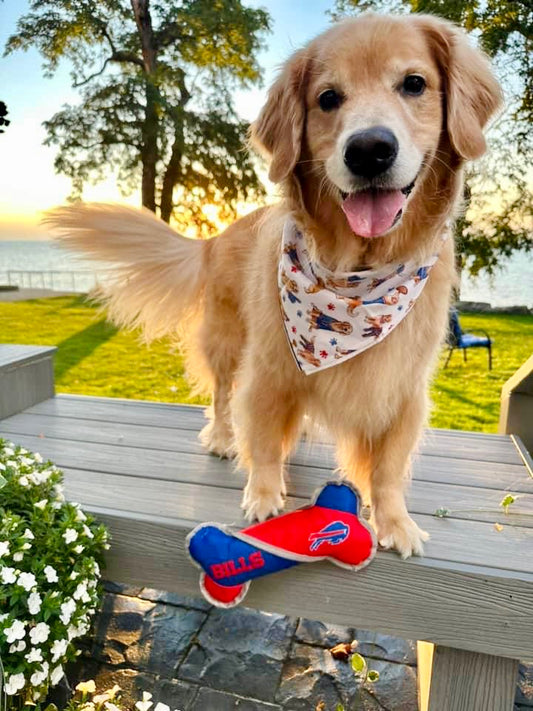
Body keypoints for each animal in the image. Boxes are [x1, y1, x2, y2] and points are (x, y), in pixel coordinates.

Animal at [47, 11, 500, 556]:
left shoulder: (404, 389)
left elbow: (389, 467)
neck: (356, 277)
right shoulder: (268, 368)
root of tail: (215, 236)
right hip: (226, 341)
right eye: (327, 98)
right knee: (222, 397)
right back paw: (223, 438)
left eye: (415, 84)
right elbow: (261, 439)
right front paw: (263, 495)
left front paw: (395, 521)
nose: (369, 149)